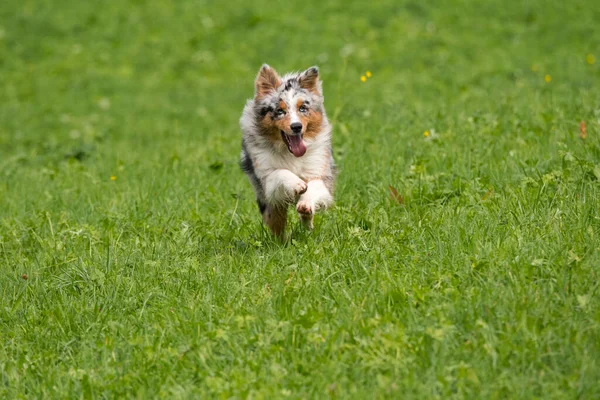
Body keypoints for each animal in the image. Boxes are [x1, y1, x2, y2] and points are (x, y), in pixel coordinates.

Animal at [239, 64, 336, 236]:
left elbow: (314, 186)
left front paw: (305, 204)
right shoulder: (266, 181)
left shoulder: (320, 173)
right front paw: (297, 184)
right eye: (279, 111)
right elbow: (280, 172)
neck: (291, 154)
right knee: (276, 221)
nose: (296, 126)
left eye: (303, 108)